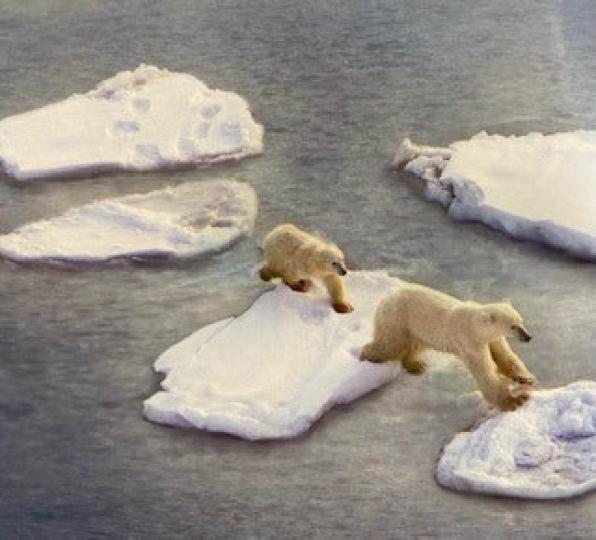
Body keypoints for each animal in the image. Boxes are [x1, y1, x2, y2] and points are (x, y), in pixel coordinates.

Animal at [358, 282, 536, 410]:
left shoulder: (492, 339)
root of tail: (386, 297)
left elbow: (505, 356)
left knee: (413, 345)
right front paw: (515, 400)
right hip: (398, 318)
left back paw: (416, 365)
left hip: (416, 328)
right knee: (389, 344)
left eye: (521, 322)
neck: (476, 325)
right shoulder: (469, 340)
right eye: (513, 326)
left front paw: (525, 378)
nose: (528, 337)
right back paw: (366, 356)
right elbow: (484, 371)